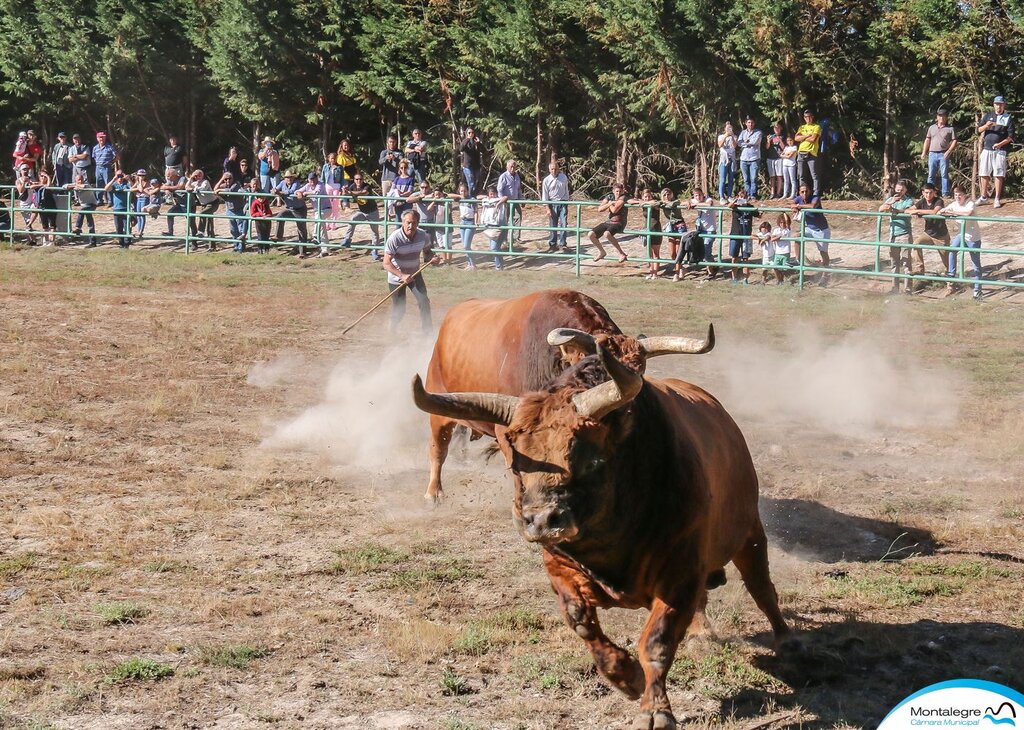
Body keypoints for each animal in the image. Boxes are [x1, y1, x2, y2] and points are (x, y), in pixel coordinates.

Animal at [413, 344, 790, 728]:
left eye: (590, 460)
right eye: (516, 464)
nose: (543, 521)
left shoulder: (679, 572)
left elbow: (657, 642)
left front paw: (655, 710)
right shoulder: (560, 565)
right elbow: (581, 622)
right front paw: (626, 676)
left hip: (749, 534)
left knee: (762, 589)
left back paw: (788, 643)